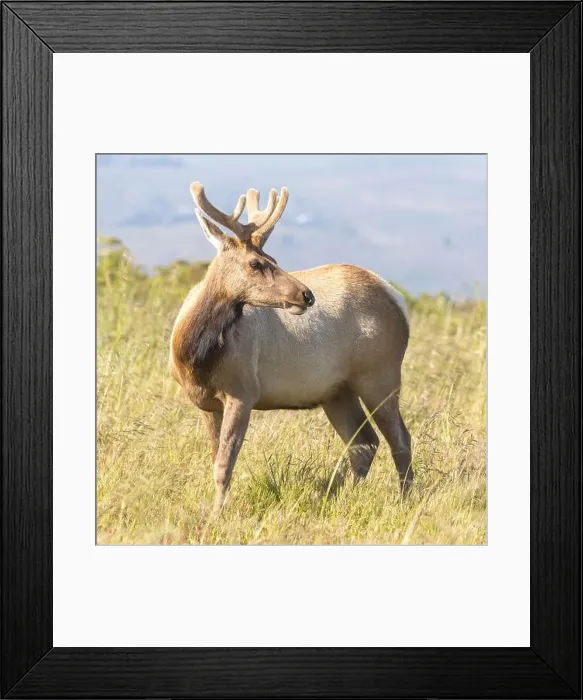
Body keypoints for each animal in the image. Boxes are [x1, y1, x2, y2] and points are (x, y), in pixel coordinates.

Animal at [169, 182, 413, 514]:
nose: (306, 295)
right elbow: (215, 459)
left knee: (400, 439)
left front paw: (218, 514)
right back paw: (343, 499)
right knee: (364, 443)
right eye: (256, 262)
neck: (194, 358)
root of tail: (397, 299)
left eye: (273, 257)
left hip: (380, 374)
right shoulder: (206, 404)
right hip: (336, 392)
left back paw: (404, 500)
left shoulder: (243, 391)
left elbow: (224, 464)